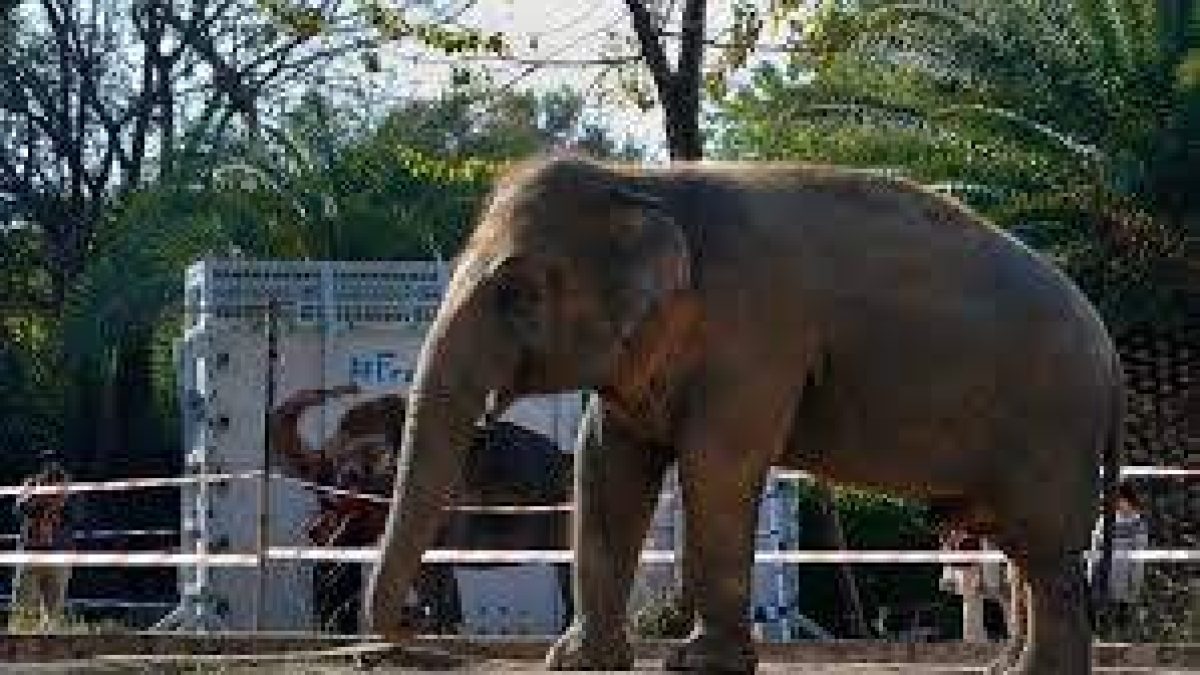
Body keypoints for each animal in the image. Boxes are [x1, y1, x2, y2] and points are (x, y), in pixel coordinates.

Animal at [363, 156, 1121, 674]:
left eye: (516, 293)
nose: (410, 637)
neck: (644, 182)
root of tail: (1109, 349)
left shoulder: (757, 333)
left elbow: (716, 464)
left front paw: (700, 663)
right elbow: (606, 462)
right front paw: (577, 662)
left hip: (1051, 423)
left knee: (1044, 548)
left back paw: (1040, 673)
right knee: (1018, 543)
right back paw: (1006, 669)